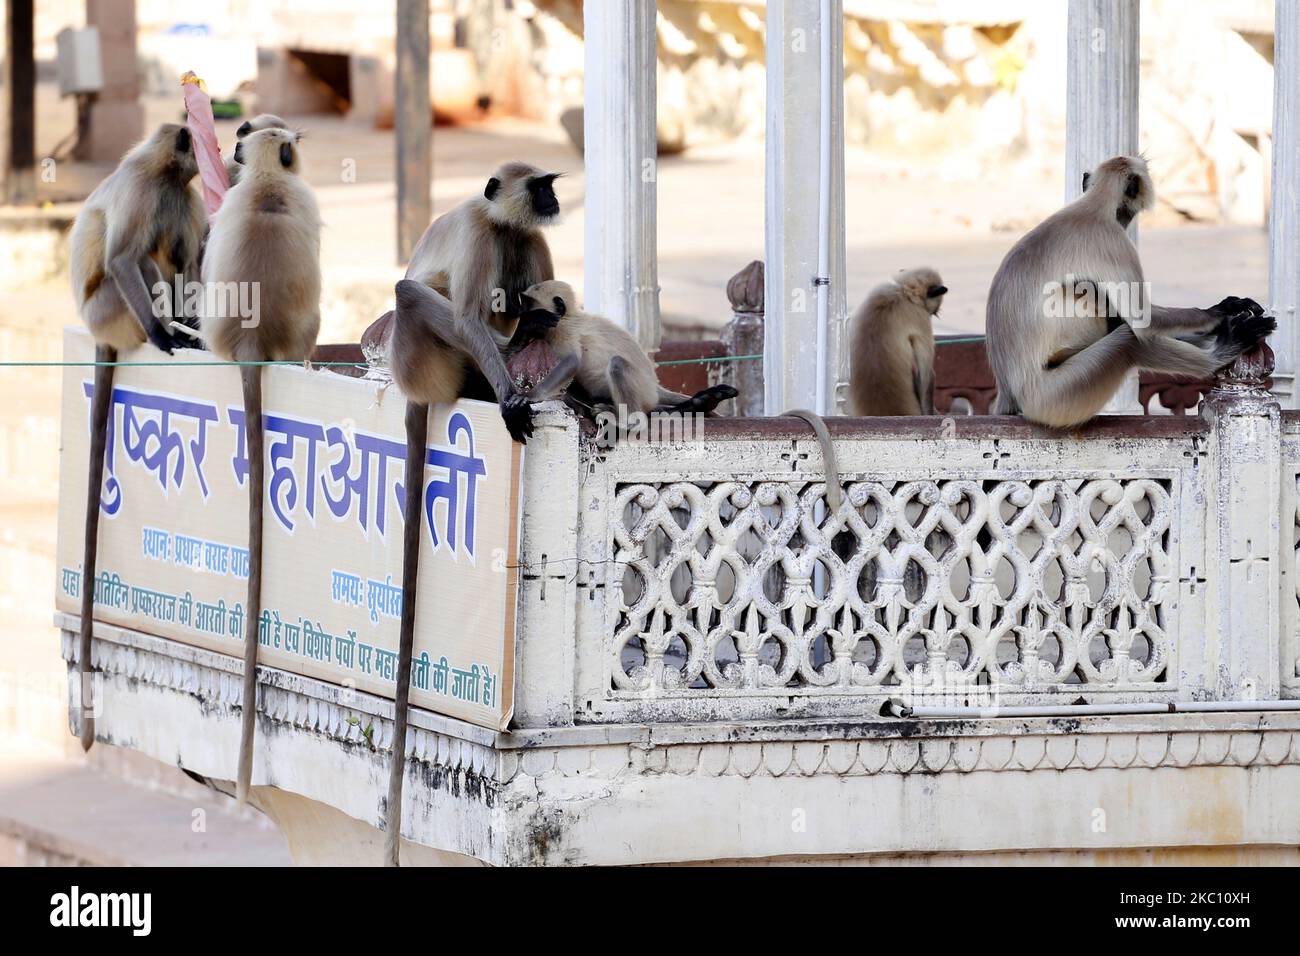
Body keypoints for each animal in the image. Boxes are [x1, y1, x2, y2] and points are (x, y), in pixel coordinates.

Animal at [987, 157, 1274, 426]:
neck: (1093, 206)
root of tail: (1010, 395)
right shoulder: (1114, 242)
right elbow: (1142, 321)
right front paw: (1219, 312)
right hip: (1054, 397)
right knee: (1127, 339)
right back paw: (1221, 352)